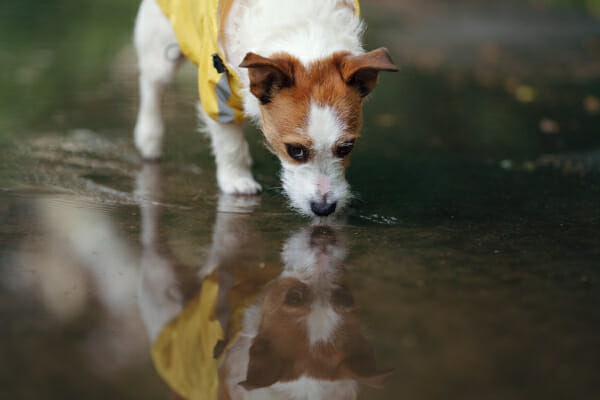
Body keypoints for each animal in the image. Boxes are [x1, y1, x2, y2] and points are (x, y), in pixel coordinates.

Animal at [135, 0, 398, 216]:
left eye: (346, 147)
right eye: (295, 150)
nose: (324, 209)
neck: (303, 30)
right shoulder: (217, 88)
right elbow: (230, 143)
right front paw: (237, 179)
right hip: (162, 48)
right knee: (152, 86)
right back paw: (149, 138)